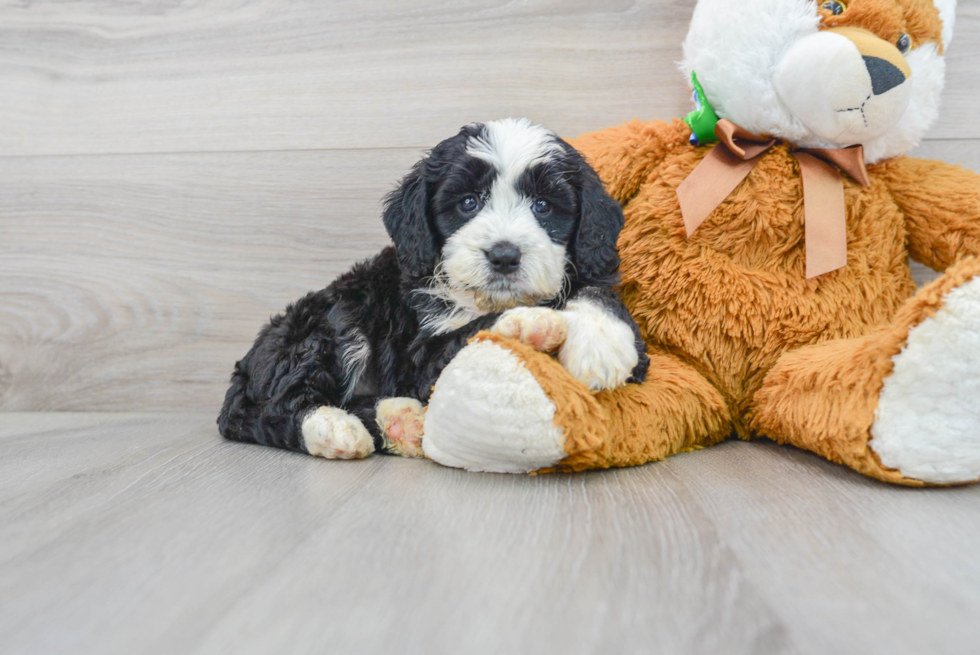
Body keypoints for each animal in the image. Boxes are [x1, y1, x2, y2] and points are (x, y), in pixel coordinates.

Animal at [218, 120, 648, 464]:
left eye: (543, 206)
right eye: (468, 202)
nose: (504, 255)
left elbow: (597, 296)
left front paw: (602, 343)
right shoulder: (419, 355)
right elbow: (469, 331)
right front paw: (528, 323)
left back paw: (400, 422)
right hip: (330, 323)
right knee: (274, 409)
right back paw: (335, 428)